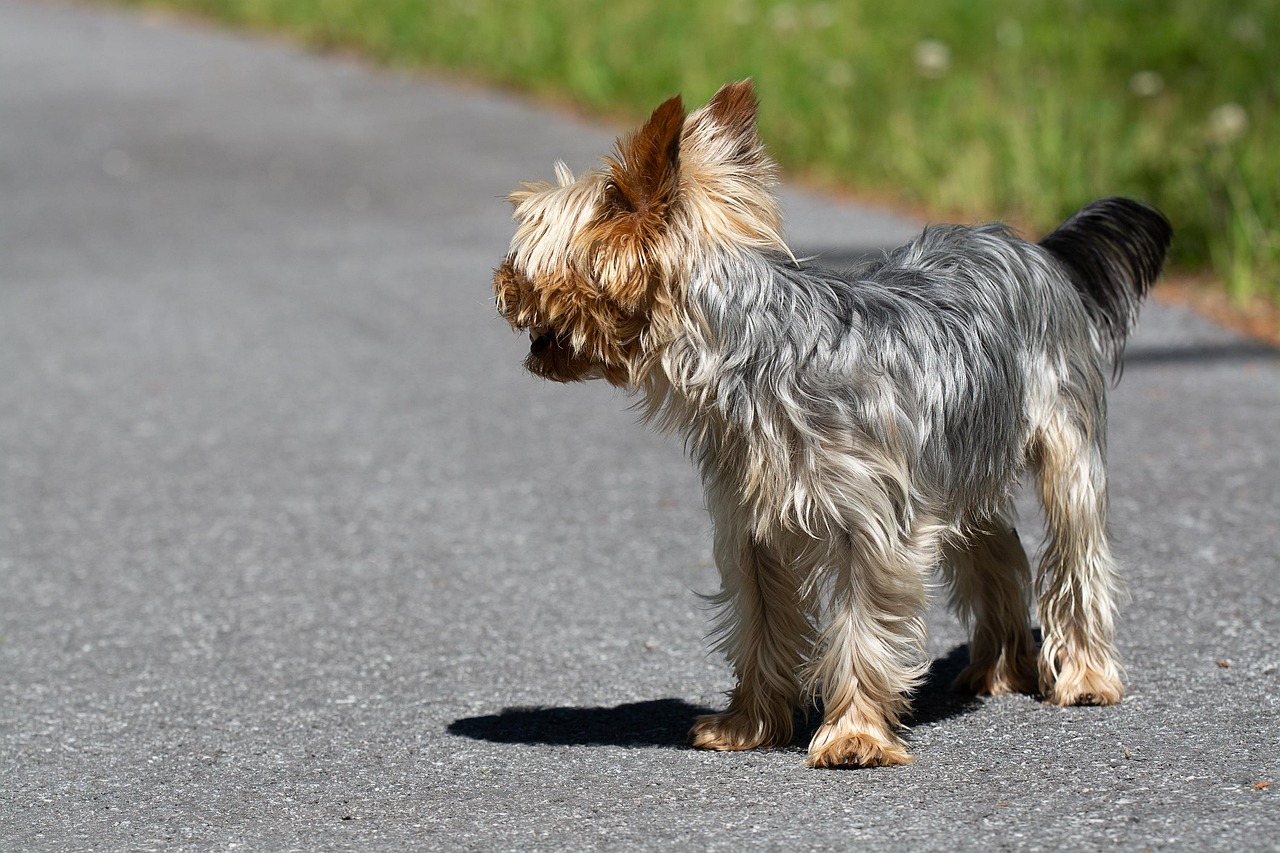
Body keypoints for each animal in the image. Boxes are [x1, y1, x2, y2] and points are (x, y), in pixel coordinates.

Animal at [488, 83, 1172, 768]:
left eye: (526, 249)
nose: (497, 280)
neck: (757, 358)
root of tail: (1038, 250)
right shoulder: (752, 531)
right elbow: (760, 627)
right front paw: (749, 726)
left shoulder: (870, 528)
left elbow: (861, 629)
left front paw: (854, 736)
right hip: (962, 461)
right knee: (997, 551)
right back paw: (998, 670)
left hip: (1066, 449)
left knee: (1077, 553)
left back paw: (1085, 677)